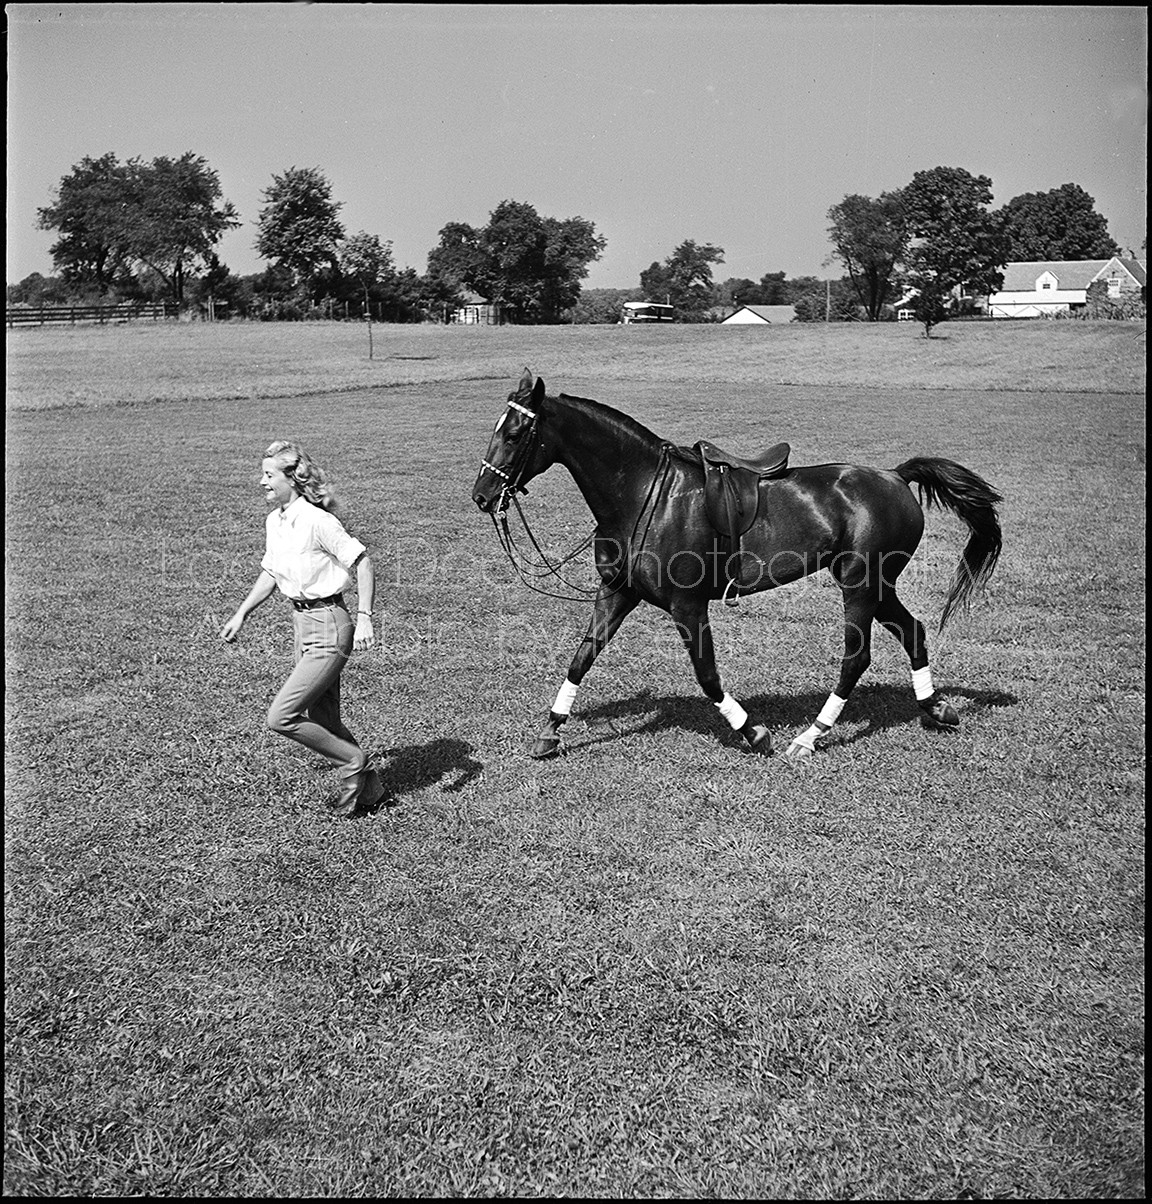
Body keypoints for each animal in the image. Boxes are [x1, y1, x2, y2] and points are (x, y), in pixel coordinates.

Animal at [467, 370, 996, 756]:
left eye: (514, 434)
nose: (482, 495)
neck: (642, 495)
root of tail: (896, 476)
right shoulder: (617, 592)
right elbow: (582, 657)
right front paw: (551, 731)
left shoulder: (687, 605)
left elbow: (707, 676)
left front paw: (752, 732)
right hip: (878, 585)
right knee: (913, 632)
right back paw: (935, 708)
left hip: (860, 583)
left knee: (857, 656)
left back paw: (811, 736)